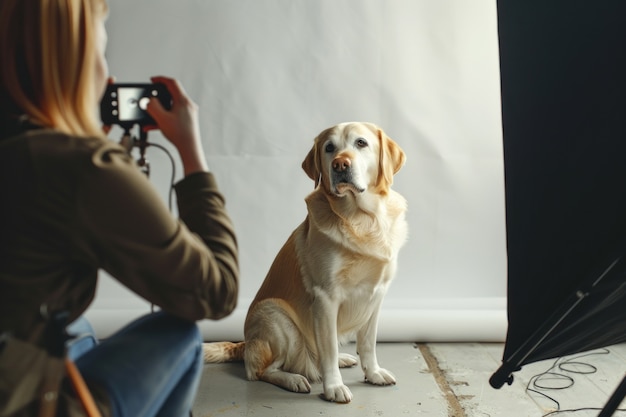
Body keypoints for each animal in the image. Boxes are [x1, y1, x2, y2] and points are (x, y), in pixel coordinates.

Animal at [202, 122, 408, 402]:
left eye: (361, 143)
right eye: (329, 148)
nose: (340, 164)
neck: (362, 218)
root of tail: (245, 344)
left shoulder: (375, 296)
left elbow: (367, 343)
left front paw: (374, 373)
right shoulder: (325, 297)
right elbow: (328, 350)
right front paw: (333, 387)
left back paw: (342, 360)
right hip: (277, 318)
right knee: (263, 371)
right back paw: (294, 380)